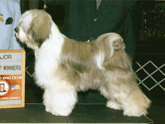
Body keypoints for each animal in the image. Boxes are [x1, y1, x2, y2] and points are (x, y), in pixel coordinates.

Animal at [15, 9, 151, 117]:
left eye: (25, 24)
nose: (15, 29)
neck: (46, 45)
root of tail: (118, 48)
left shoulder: (61, 82)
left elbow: (61, 98)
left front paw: (59, 111)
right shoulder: (51, 82)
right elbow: (50, 96)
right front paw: (50, 107)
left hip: (118, 79)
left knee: (132, 94)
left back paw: (136, 110)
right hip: (108, 82)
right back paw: (116, 105)